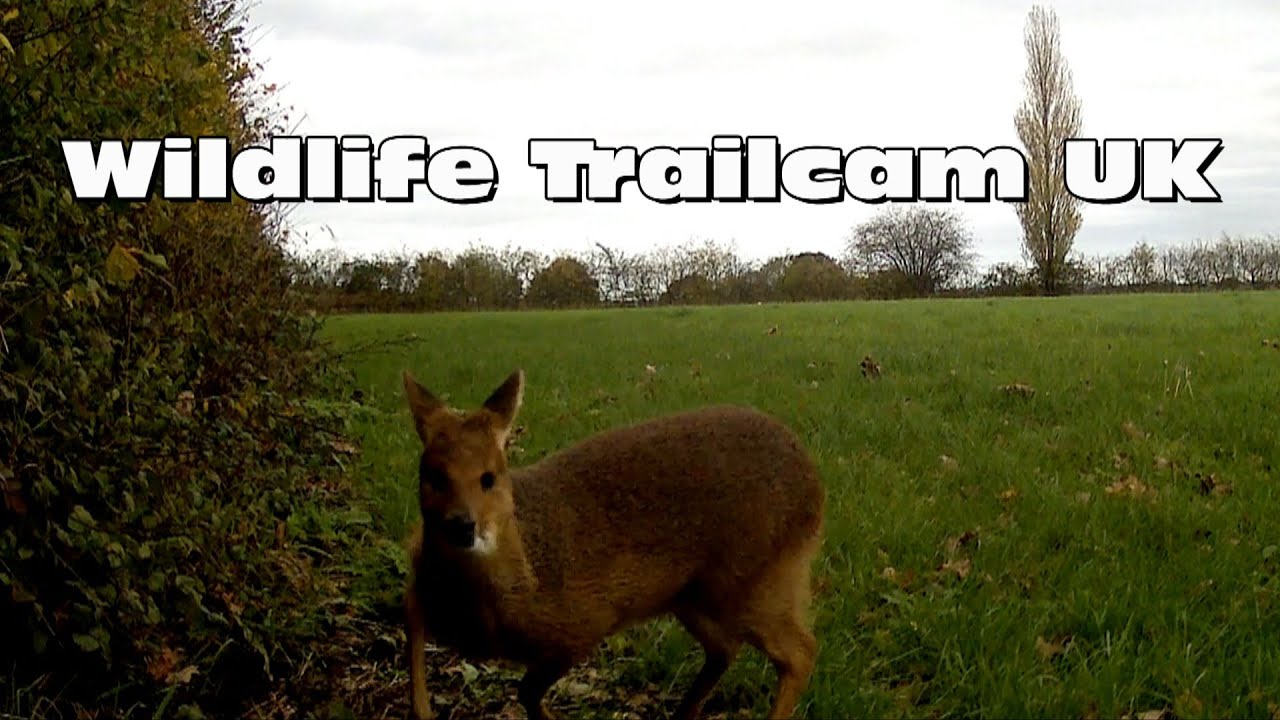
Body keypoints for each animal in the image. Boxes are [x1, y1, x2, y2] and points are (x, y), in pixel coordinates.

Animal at [401, 368, 825, 720]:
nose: (462, 525)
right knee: (727, 648)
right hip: (693, 596)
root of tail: (815, 488)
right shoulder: (423, 576)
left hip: (755, 580)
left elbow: (527, 690)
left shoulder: (585, 624)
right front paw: (421, 708)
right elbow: (412, 621)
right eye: (434, 476)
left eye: (489, 477)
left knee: (800, 651)